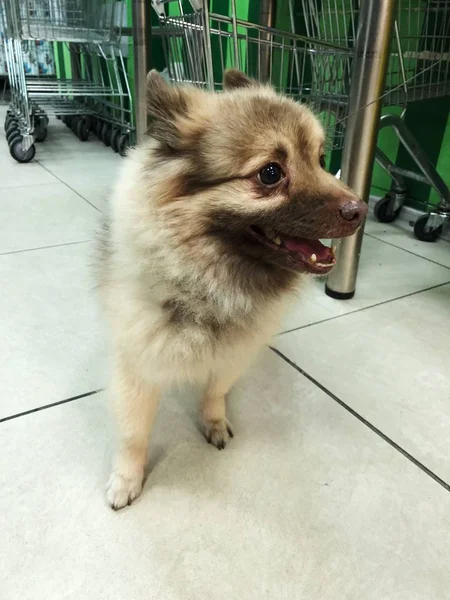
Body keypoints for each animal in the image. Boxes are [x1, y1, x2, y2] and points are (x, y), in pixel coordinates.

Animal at [96, 71, 368, 510]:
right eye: (271, 173)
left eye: (322, 160)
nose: (360, 209)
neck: (208, 288)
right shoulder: (138, 363)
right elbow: (134, 432)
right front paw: (126, 479)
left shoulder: (233, 354)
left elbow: (214, 393)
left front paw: (214, 421)